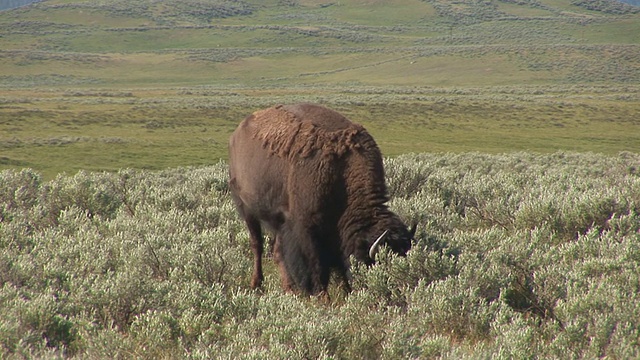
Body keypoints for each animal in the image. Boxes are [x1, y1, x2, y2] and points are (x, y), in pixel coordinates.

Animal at [230, 102, 416, 296]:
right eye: (371, 262)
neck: (342, 169)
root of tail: (237, 133)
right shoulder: (307, 229)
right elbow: (316, 265)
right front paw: (323, 297)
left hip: (276, 220)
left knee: (277, 252)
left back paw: (289, 288)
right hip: (246, 208)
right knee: (257, 245)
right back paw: (257, 284)